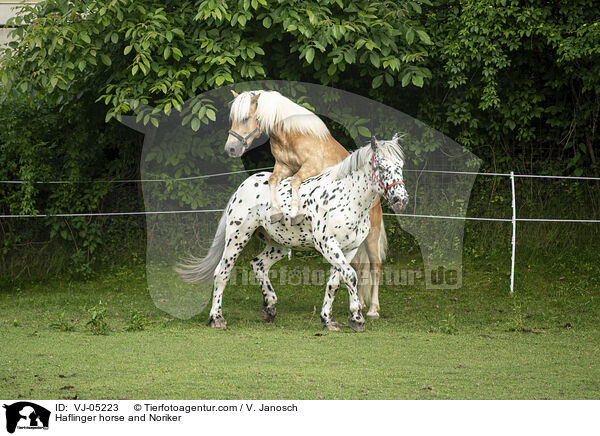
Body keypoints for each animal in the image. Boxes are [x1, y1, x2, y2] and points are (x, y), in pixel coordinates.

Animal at [175, 135, 408, 332]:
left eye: (400, 166)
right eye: (381, 167)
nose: (401, 199)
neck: (346, 197)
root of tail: (244, 186)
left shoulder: (348, 249)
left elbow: (335, 282)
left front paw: (328, 320)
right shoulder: (329, 245)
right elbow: (350, 276)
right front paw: (357, 319)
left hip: (278, 245)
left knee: (258, 265)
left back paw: (270, 307)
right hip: (237, 238)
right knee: (222, 273)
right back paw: (217, 318)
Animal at [224, 90, 384, 318]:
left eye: (246, 118)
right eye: (233, 118)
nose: (231, 148)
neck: (293, 135)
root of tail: (377, 199)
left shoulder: (309, 168)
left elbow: (295, 183)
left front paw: (295, 213)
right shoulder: (283, 167)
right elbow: (274, 182)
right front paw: (277, 212)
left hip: (372, 235)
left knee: (375, 267)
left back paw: (372, 309)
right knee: (358, 267)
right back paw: (359, 304)